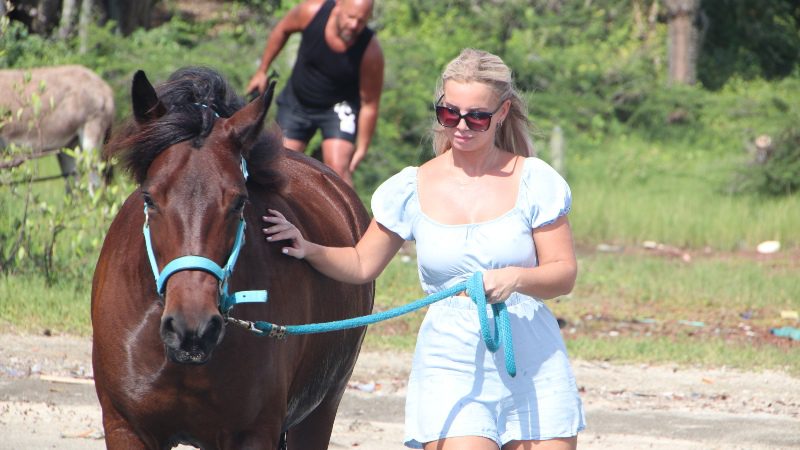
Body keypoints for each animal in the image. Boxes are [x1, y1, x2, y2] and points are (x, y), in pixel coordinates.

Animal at [91, 66, 374, 449]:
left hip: (320, 411)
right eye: (149, 198)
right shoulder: (125, 428)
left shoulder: (254, 434)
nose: (192, 328)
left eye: (239, 201)